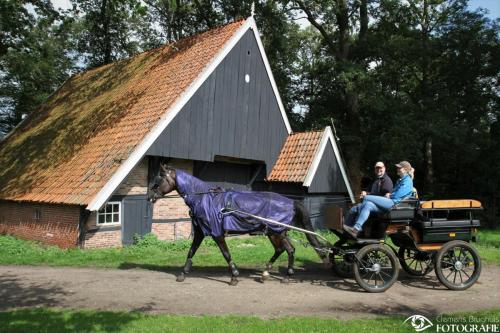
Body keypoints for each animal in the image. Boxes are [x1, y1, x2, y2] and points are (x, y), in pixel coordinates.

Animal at [148, 165, 328, 284]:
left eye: (159, 178)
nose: (149, 196)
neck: (204, 198)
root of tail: (291, 202)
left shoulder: (217, 234)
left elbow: (226, 254)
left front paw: (234, 276)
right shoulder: (199, 233)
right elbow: (191, 252)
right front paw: (183, 273)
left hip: (278, 231)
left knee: (290, 250)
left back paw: (287, 276)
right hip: (273, 232)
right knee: (280, 249)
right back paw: (265, 273)